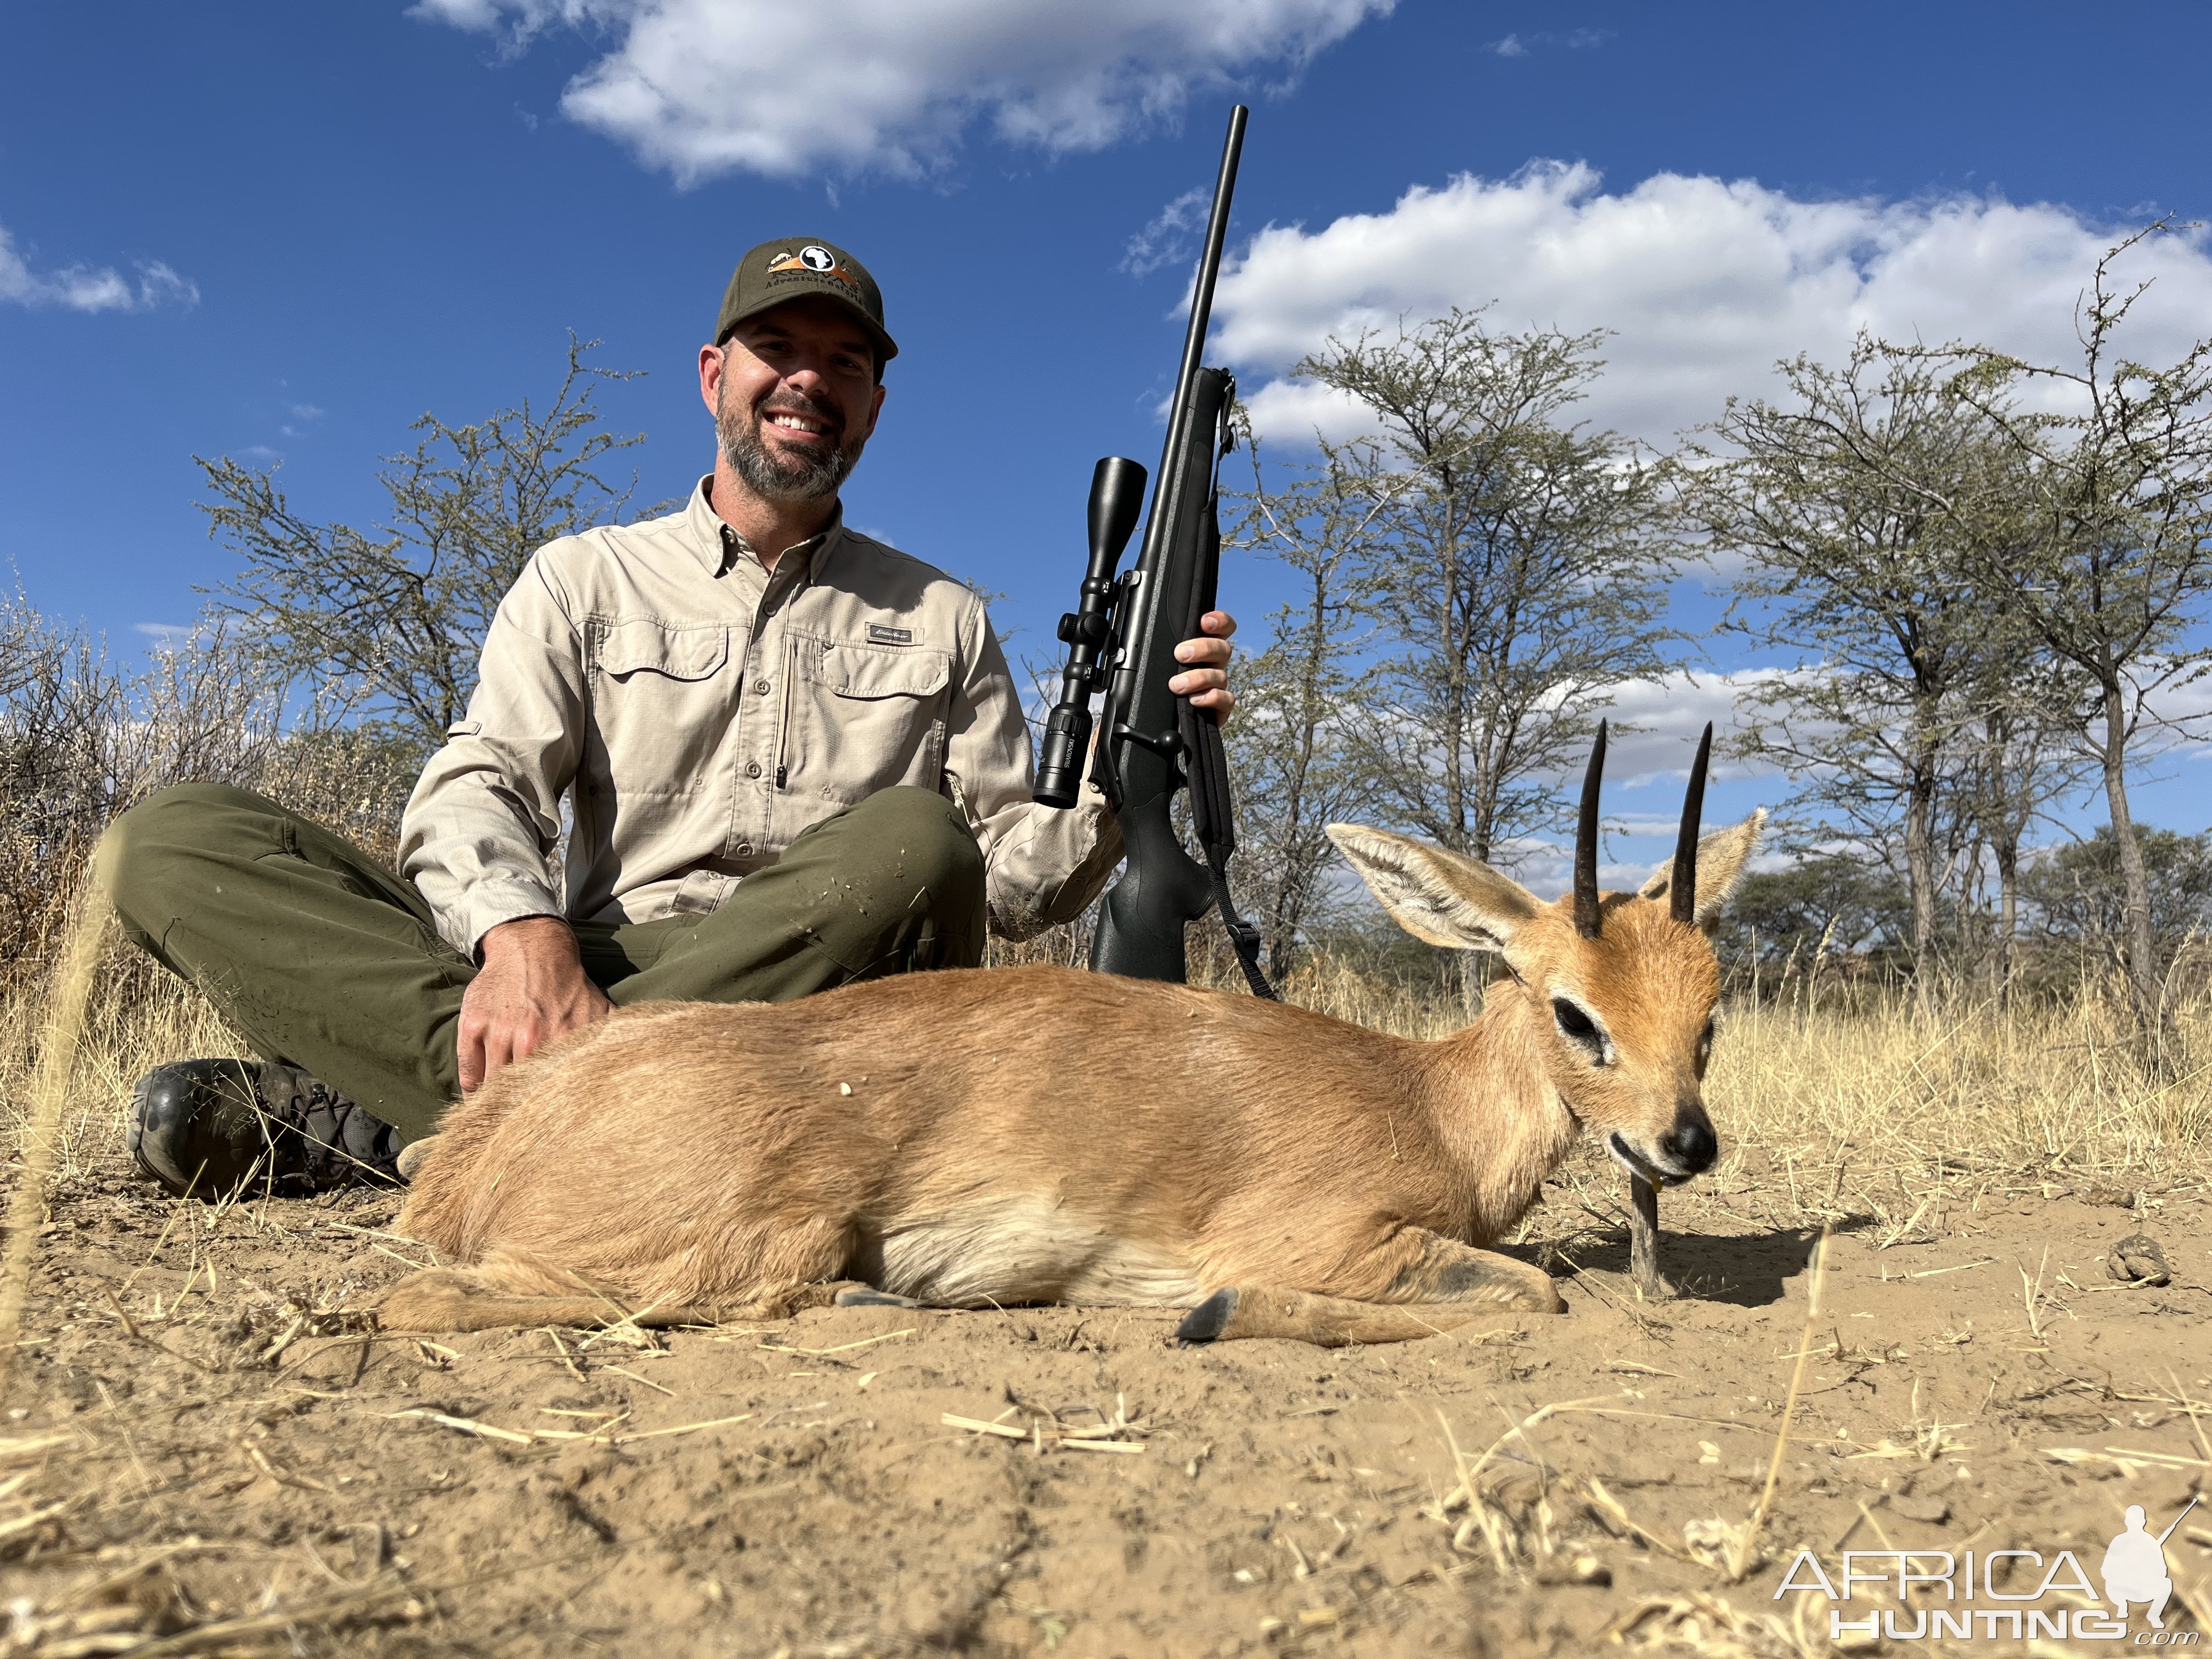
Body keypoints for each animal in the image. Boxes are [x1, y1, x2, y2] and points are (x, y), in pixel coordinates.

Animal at [385, 725, 1760, 1353]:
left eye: (1710, 1011)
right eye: (1575, 1011)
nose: (1684, 1146)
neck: (1427, 1103)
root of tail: (473, 1146)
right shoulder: (1332, 1238)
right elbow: (1534, 1290)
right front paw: (1204, 1312)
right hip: (760, 1238)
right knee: (425, 1298)